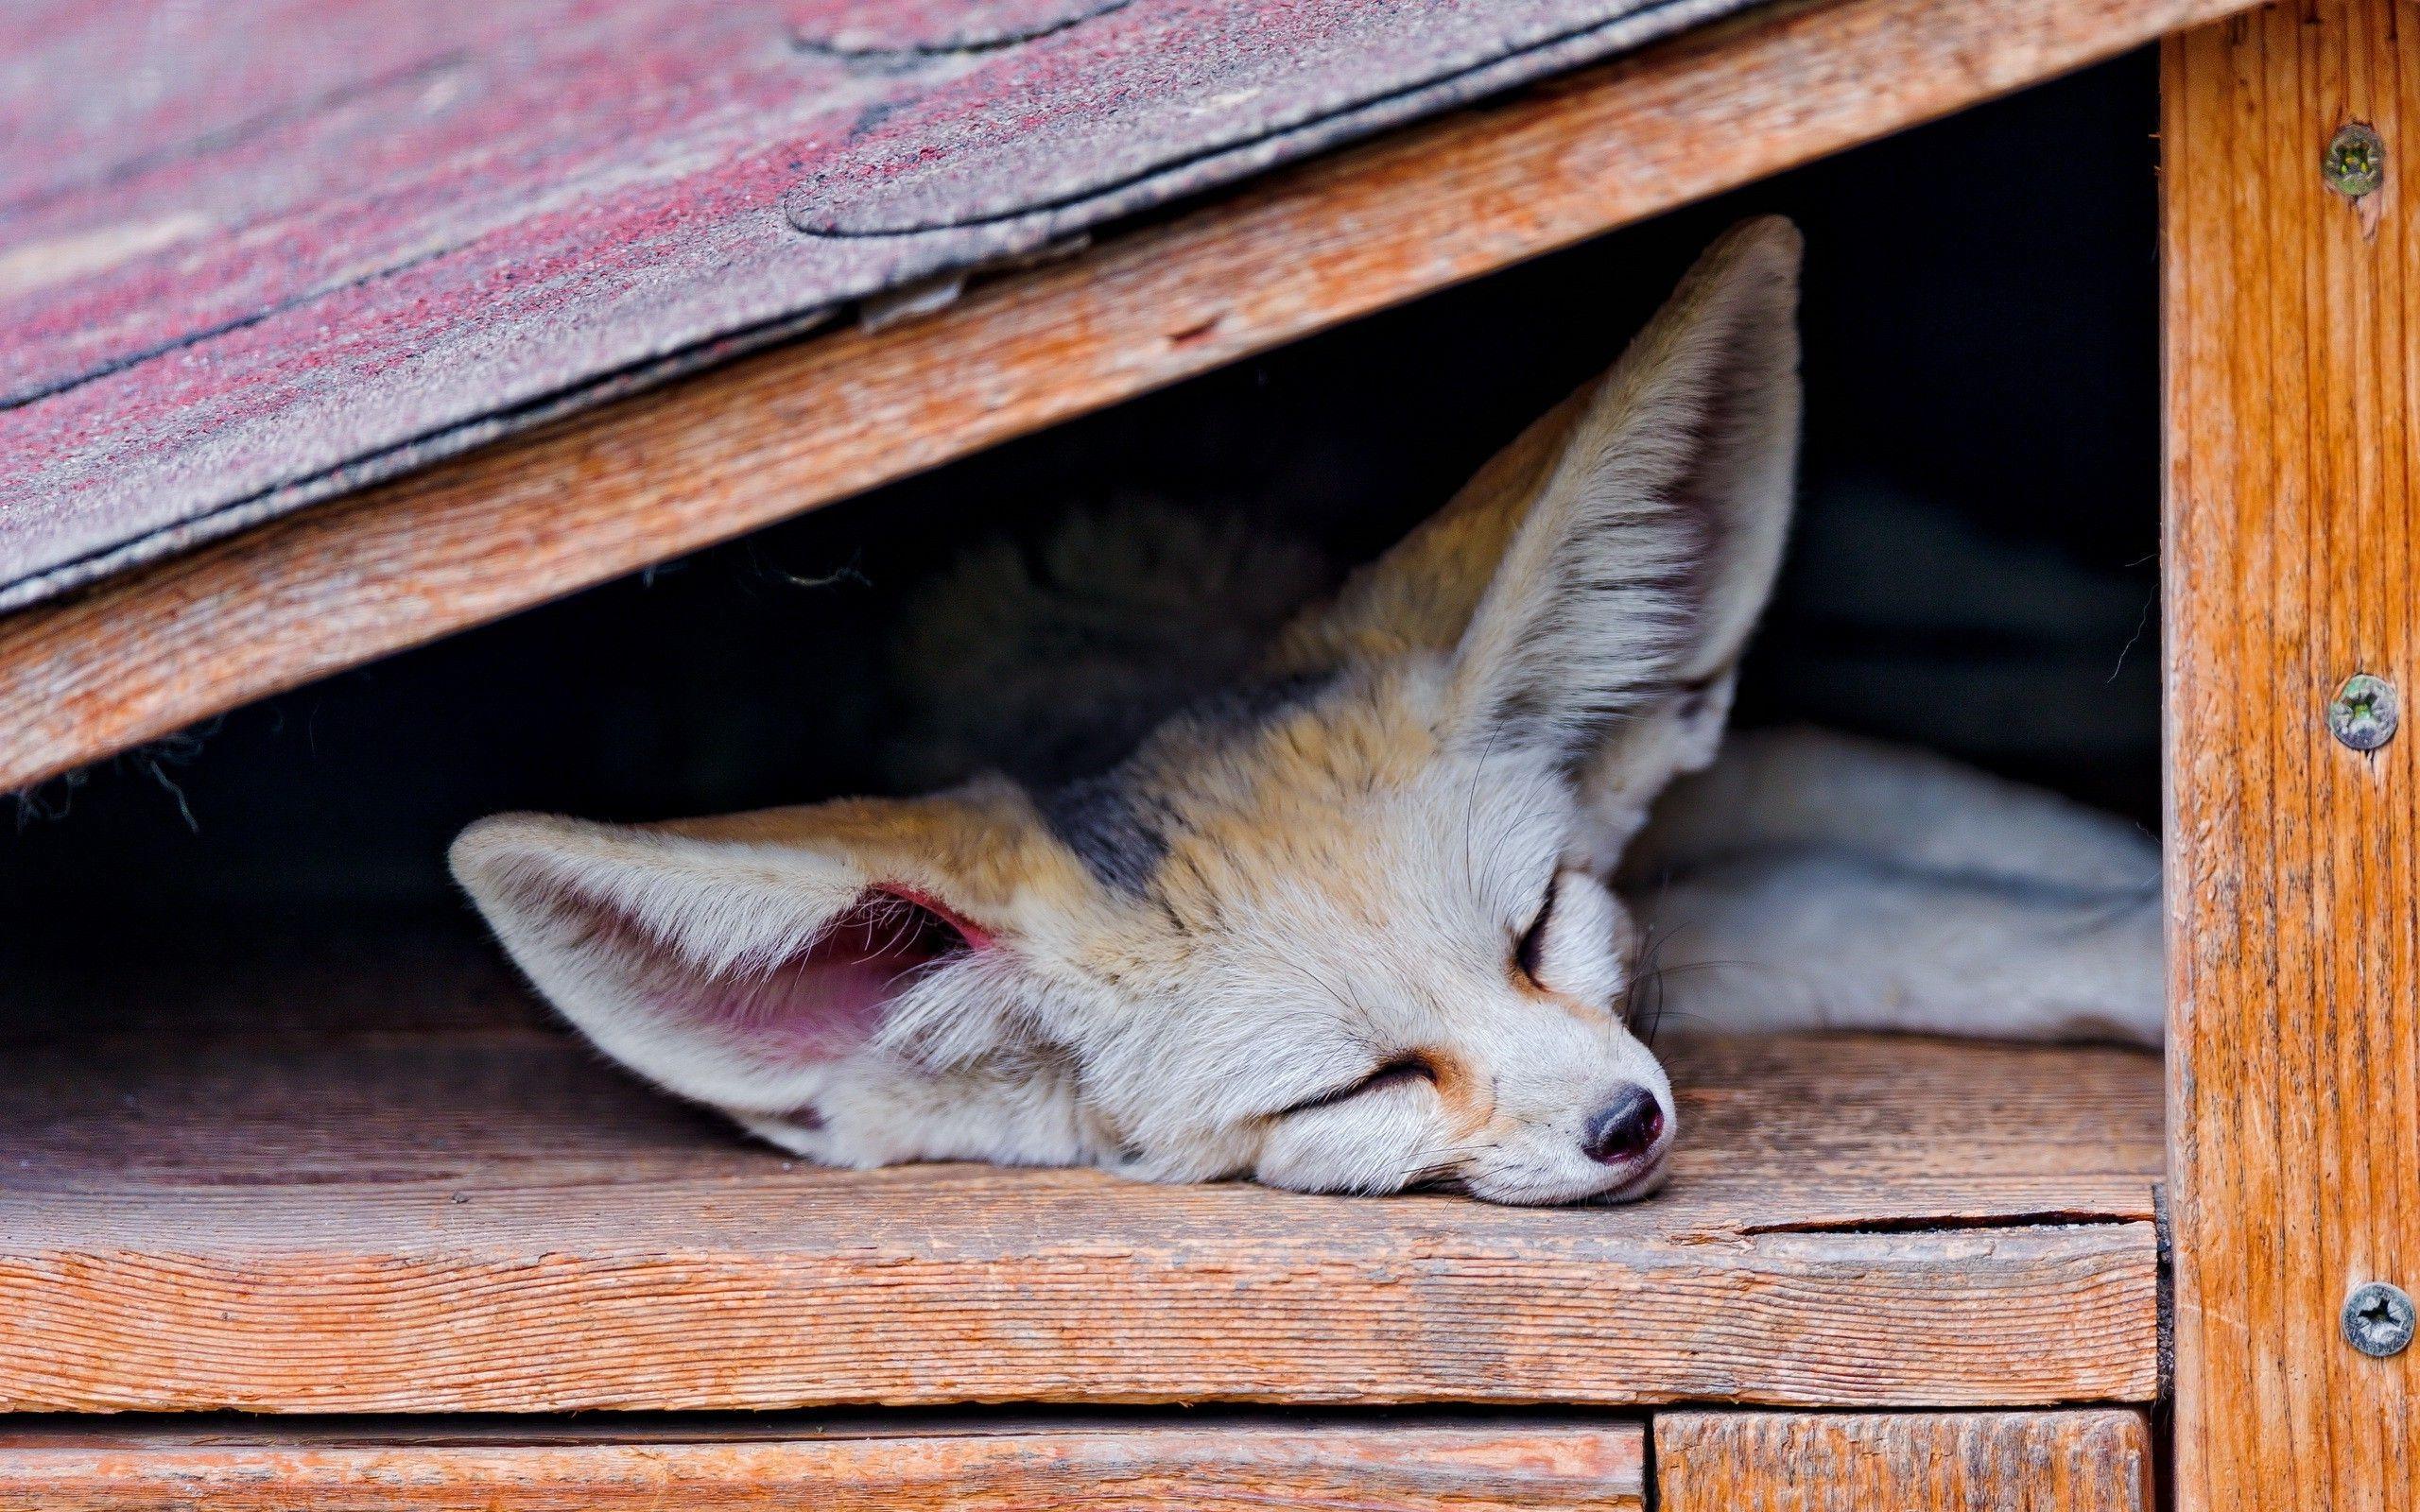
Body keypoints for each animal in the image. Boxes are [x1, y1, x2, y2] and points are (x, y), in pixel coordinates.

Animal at [451, 217, 2162, 1207]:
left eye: (1536, 929)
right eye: (1355, 1087)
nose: (1625, 1122)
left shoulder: (1713, 803)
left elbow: (1990, 877)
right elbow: (1906, 920)